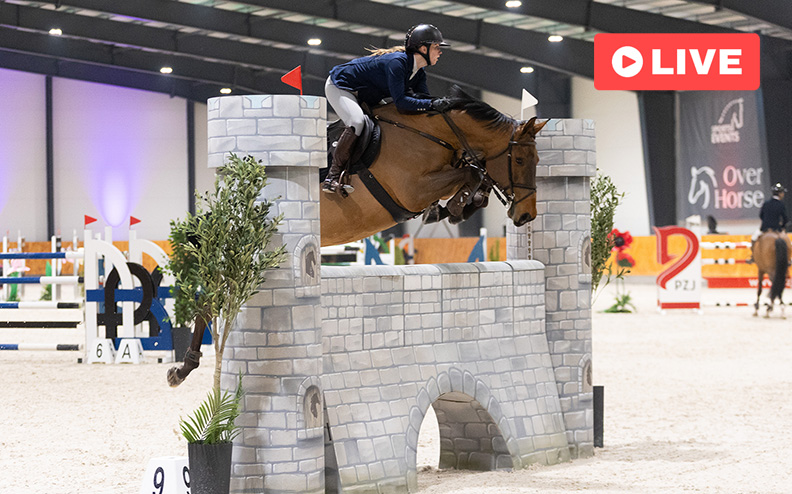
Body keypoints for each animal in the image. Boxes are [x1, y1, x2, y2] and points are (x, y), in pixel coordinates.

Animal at [167, 88, 547, 386]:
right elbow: (470, 173)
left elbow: (473, 177)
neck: (434, 133)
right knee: (212, 295)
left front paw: (456, 207)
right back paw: (182, 368)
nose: (526, 215)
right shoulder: (411, 189)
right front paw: (454, 204)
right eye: (521, 159)